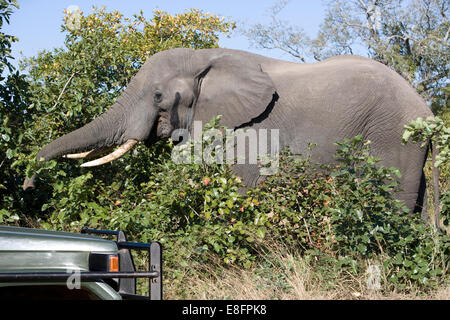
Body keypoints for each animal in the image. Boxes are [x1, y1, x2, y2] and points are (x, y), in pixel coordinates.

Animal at [22, 47, 434, 214]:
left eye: (157, 95)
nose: (27, 187)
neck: (205, 57)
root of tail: (427, 113)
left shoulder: (252, 131)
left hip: (393, 138)